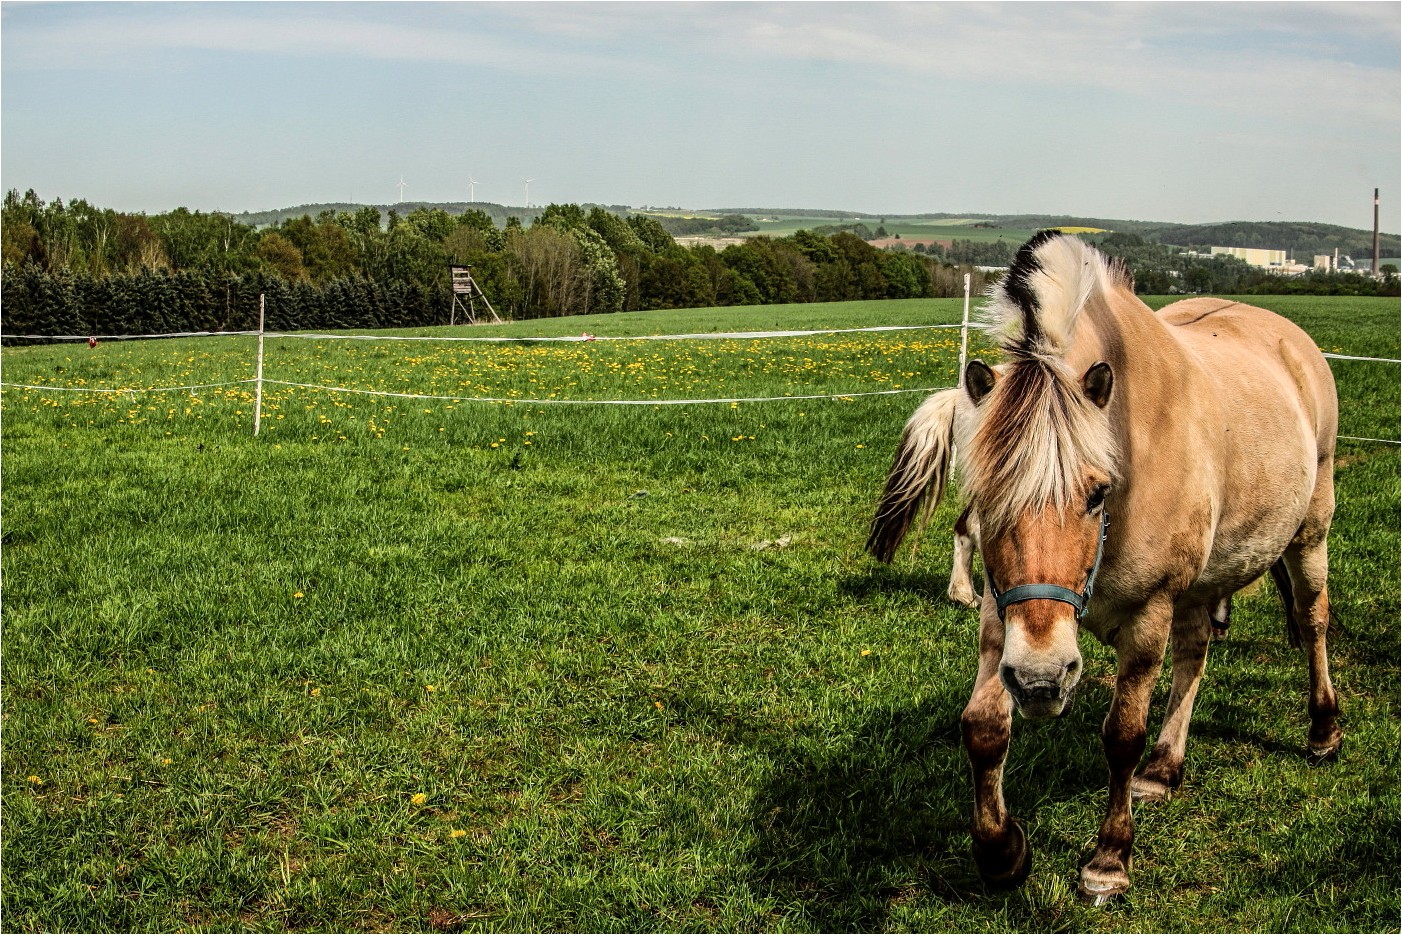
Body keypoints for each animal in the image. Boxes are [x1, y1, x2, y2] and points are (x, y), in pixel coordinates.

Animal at [869, 229, 1340, 902]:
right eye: (984, 494)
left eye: (1097, 493)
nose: (1042, 680)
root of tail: (1290, 339)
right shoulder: (1005, 617)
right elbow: (982, 727)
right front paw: (1001, 853)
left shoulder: (1148, 613)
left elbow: (1121, 737)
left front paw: (1110, 858)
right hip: (1199, 584)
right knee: (1195, 651)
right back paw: (1165, 768)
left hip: (1309, 533)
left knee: (1312, 619)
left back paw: (1323, 730)